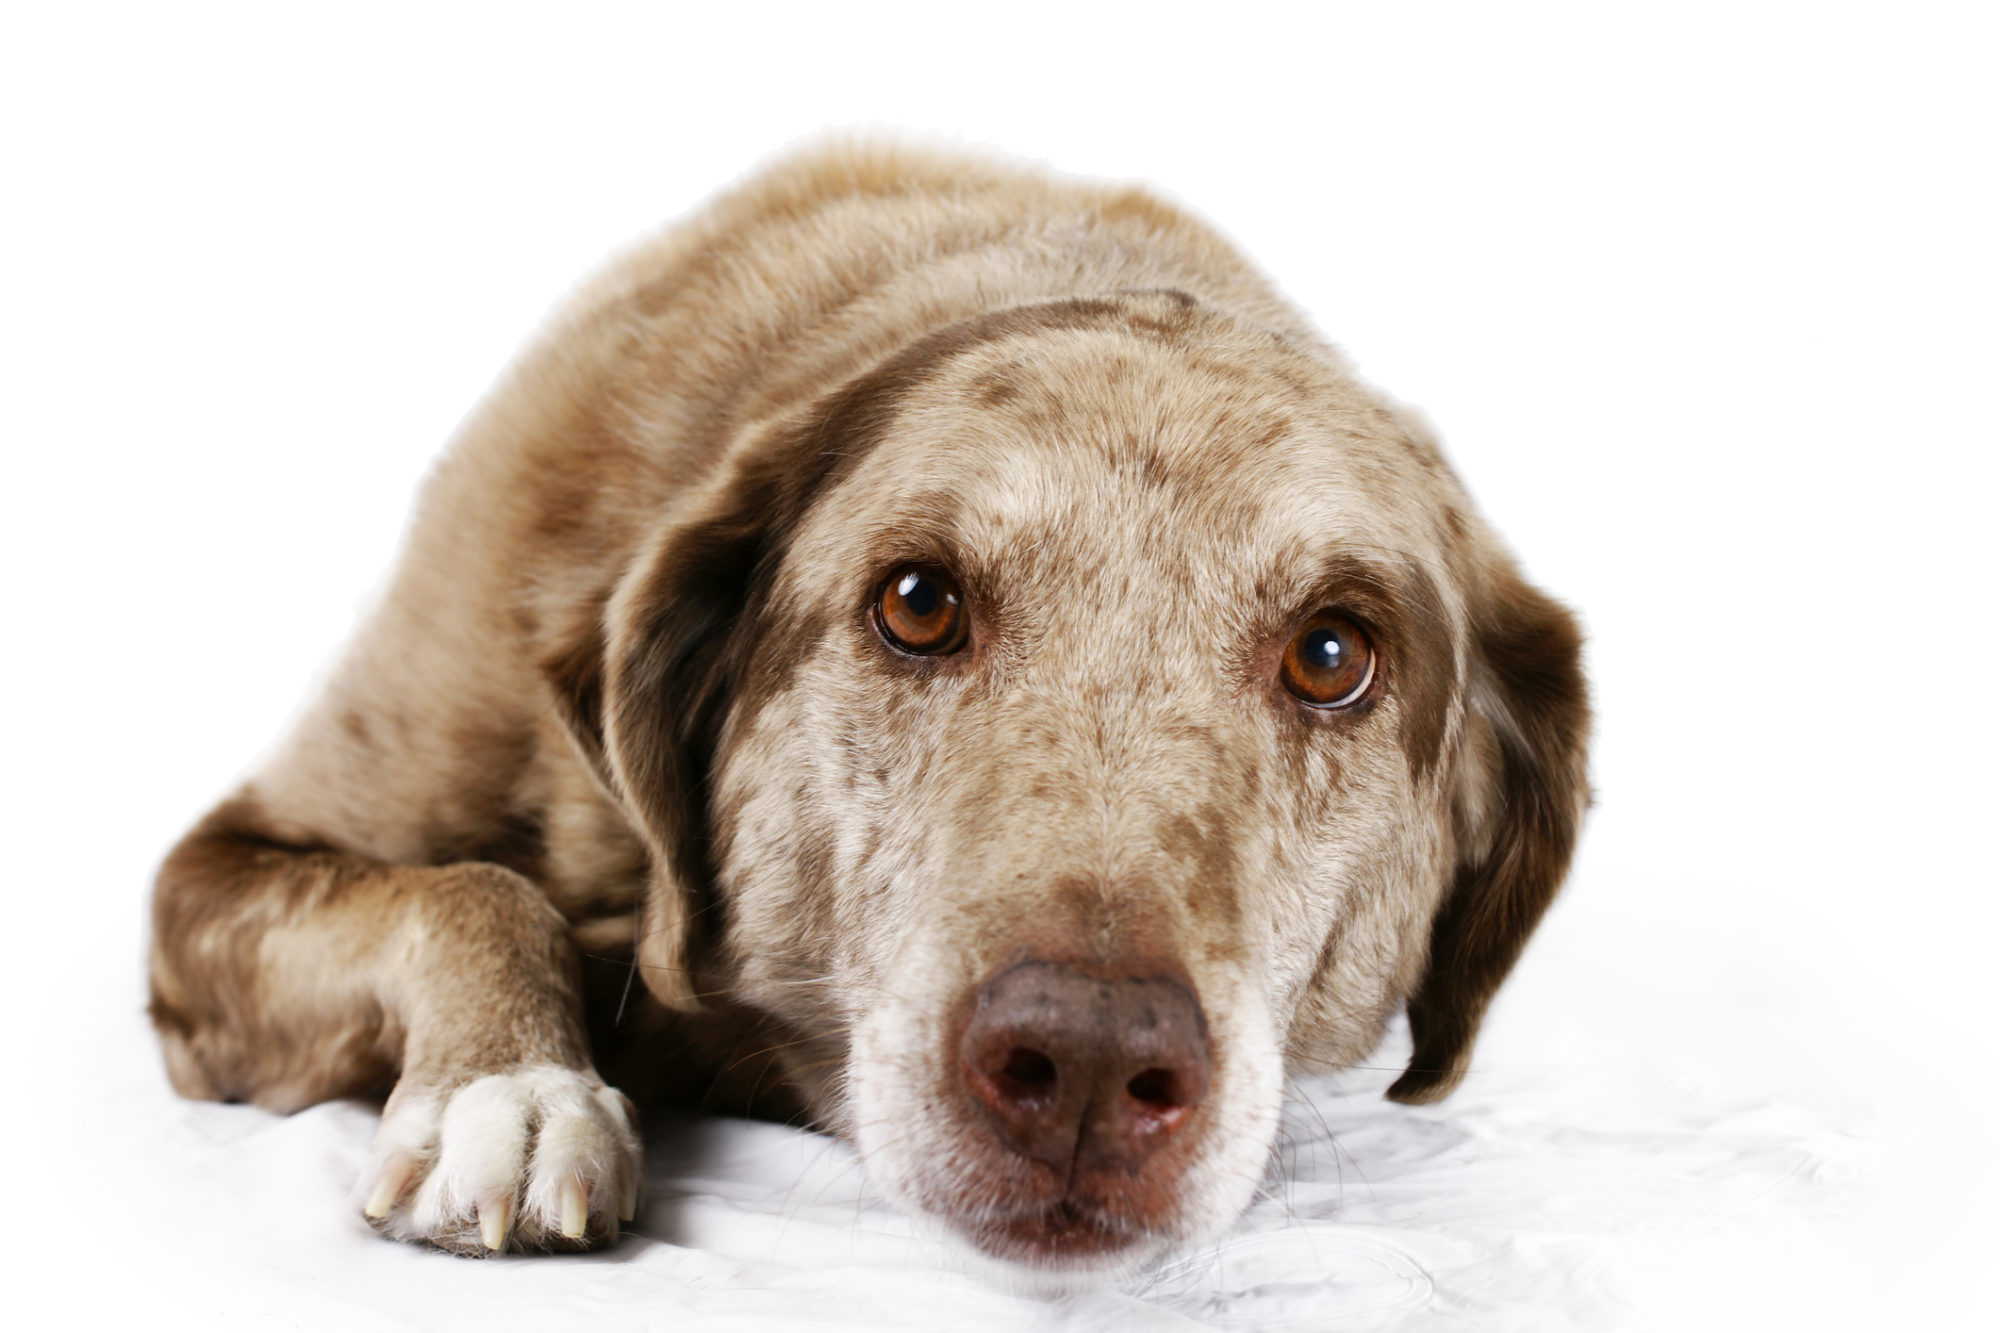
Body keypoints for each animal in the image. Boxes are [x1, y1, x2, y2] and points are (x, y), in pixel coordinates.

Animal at [148, 140, 1592, 1272]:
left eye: (1335, 653)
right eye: (916, 602)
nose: (1084, 1064)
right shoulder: (213, 875)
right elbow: (468, 890)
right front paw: (509, 1088)